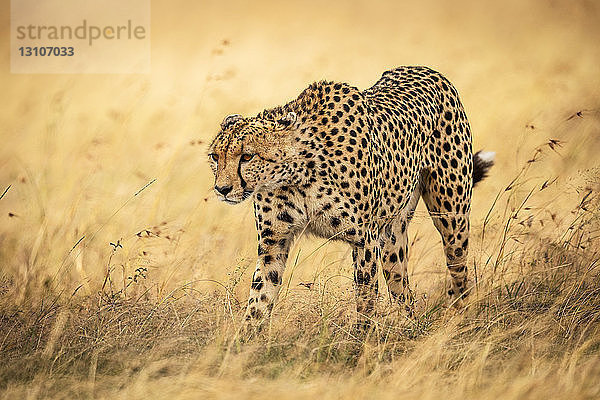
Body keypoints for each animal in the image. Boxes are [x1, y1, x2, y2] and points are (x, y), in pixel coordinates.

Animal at [209, 67, 494, 326]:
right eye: (215, 156)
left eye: (247, 156)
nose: (222, 189)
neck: (296, 174)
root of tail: (425, 69)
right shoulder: (274, 242)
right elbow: (259, 298)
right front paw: (244, 343)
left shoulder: (364, 240)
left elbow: (365, 300)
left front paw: (362, 342)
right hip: (391, 240)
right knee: (403, 291)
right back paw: (409, 328)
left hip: (451, 219)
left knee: (458, 273)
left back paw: (459, 318)